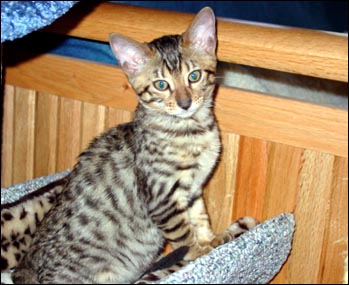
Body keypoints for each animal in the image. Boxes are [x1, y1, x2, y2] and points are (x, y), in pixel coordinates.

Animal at [9, 7, 256, 282]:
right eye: (161, 85)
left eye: (194, 76)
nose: (185, 103)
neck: (190, 130)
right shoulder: (163, 198)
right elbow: (183, 235)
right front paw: (199, 253)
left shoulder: (192, 190)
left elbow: (200, 217)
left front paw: (212, 241)